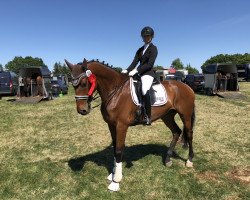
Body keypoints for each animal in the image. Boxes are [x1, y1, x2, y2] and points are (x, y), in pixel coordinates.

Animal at [64, 58, 195, 191]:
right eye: (73, 84)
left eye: (84, 83)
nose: (82, 110)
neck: (115, 91)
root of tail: (186, 86)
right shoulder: (111, 125)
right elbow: (115, 148)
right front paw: (113, 173)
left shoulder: (121, 126)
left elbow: (119, 150)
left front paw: (116, 181)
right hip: (167, 116)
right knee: (176, 132)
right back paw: (168, 160)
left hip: (185, 115)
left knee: (189, 134)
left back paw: (189, 161)